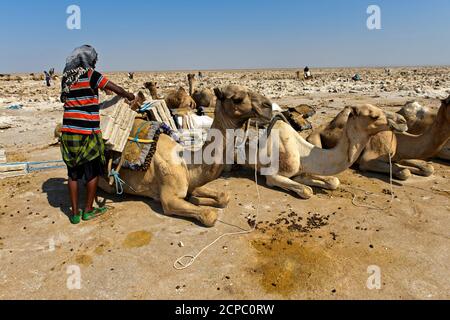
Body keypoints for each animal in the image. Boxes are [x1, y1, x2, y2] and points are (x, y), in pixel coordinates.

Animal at [100, 84, 272, 226]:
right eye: (237, 99)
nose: (268, 106)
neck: (186, 161)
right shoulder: (169, 198)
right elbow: (209, 216)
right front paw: (197, 202)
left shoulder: (193, 181)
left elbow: (224, 196)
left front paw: (196, 198)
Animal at [236, 102, 408, 199]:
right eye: (374, 116)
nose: (403, 121)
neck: (301, 151)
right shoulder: (272, 176)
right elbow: (307, 191)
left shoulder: (304, 168)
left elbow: (333, 181)